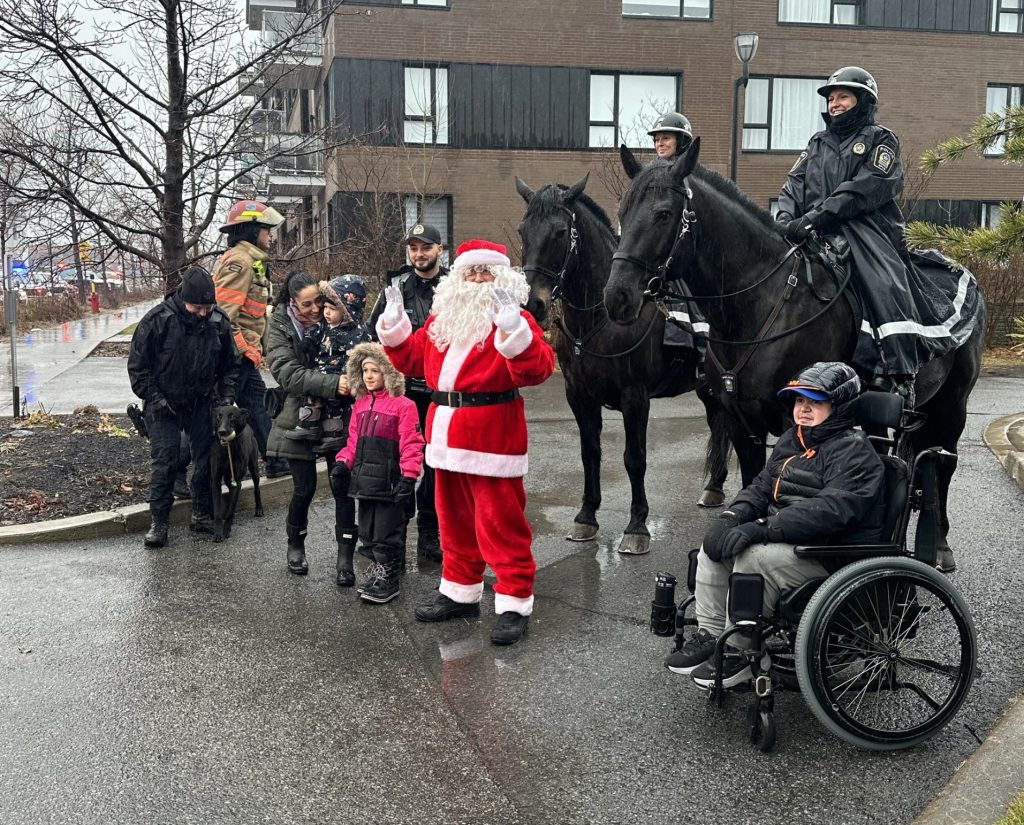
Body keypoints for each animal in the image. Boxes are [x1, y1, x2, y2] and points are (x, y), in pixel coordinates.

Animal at [207, 405, 262, 544]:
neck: (228, 448)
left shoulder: (237, 481)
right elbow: (217, 510)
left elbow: (231, 508)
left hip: (254, 467)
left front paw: (227, 528)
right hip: (228, 478)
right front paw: (217, 532)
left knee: (257, 488)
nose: (221, 432)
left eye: (232, 416)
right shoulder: (215, 480)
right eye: (219, 416)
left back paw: (259, 508)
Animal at [520, 171, 729, 556]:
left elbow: (635, 458)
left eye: (560, 232)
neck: (598, 320)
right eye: (522, 230)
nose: (533, 303)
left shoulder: (635, 397)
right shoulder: (579, 396)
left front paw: (637, 526)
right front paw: (586, 517)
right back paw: (714, 487)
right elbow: (590, 453)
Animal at [606, 140, 983, 569]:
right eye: (621, 212)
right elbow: (754, 479)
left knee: (945, 464)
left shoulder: (794, 420)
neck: (761, 304)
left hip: (953, 406)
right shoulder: (742, 421)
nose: (617, 297)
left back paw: (941, 546)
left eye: (664, 214)